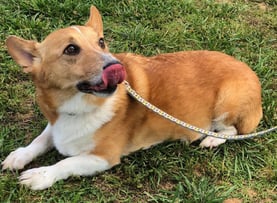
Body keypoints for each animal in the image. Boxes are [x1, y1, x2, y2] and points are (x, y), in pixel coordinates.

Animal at [1, 6, 260, 190]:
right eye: (71, 49)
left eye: (101, 42)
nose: (116, 67)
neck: (77, 108)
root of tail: (252, 73)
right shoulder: (54, 126)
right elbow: (40, 140)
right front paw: (19, 156)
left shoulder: (103, 157)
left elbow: (65, 163)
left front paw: (40, 175)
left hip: (227, 101)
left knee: (234, 130)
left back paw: (212, 139)